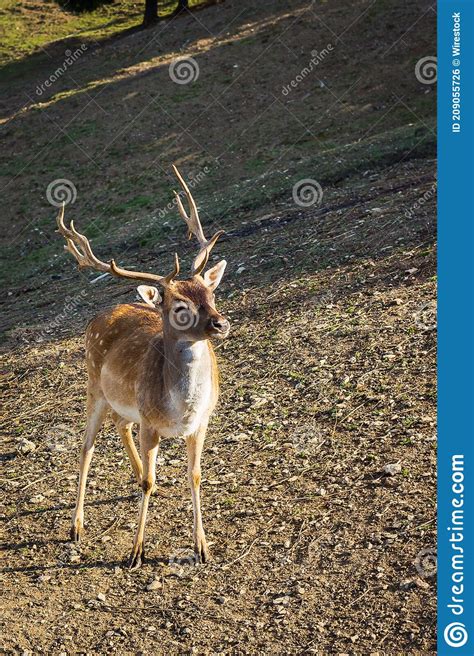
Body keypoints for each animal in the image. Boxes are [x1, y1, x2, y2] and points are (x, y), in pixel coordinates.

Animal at [55, 167, 230, 572]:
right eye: (180, 306)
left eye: (210, 294)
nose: (220, 323)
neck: (181, 409)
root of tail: (101, 313)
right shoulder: (150, 422)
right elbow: (149, 483)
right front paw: (135, 552)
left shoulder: (202, 421)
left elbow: (196, 475)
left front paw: (203, 547)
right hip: (94, 386)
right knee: (86, 446)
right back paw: (76, 526)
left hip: (123, 402)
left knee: (121, 424)